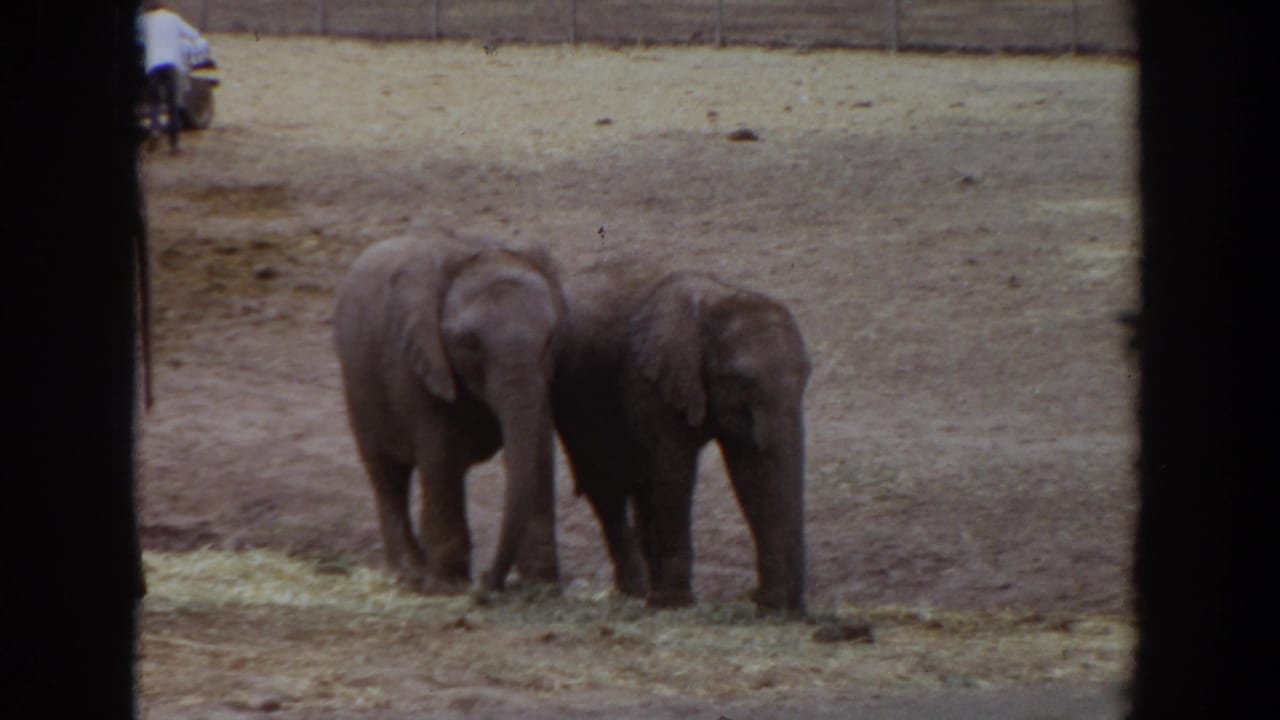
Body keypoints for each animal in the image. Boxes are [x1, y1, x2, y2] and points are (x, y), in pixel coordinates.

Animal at [333, 233, 565, 594]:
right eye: (468, 342)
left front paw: (543, 587)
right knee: (388, 477)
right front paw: (449, 587)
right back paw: (408, 574)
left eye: (551, 338)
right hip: (358, 384)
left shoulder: (543, 377)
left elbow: (539, 451)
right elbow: (441, 455)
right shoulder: (418, 362)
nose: (487, 582)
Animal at [551, 263, 811, 615]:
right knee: (606, 488)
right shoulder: (647, 380)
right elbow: (676, 470)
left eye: (806, 376)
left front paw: (769, 605)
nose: (792, 606)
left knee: (640, 486)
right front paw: (676, 604)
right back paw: (636, 593)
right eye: (742, 382)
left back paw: (648, 590)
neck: (718, 300)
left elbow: (751, 474)